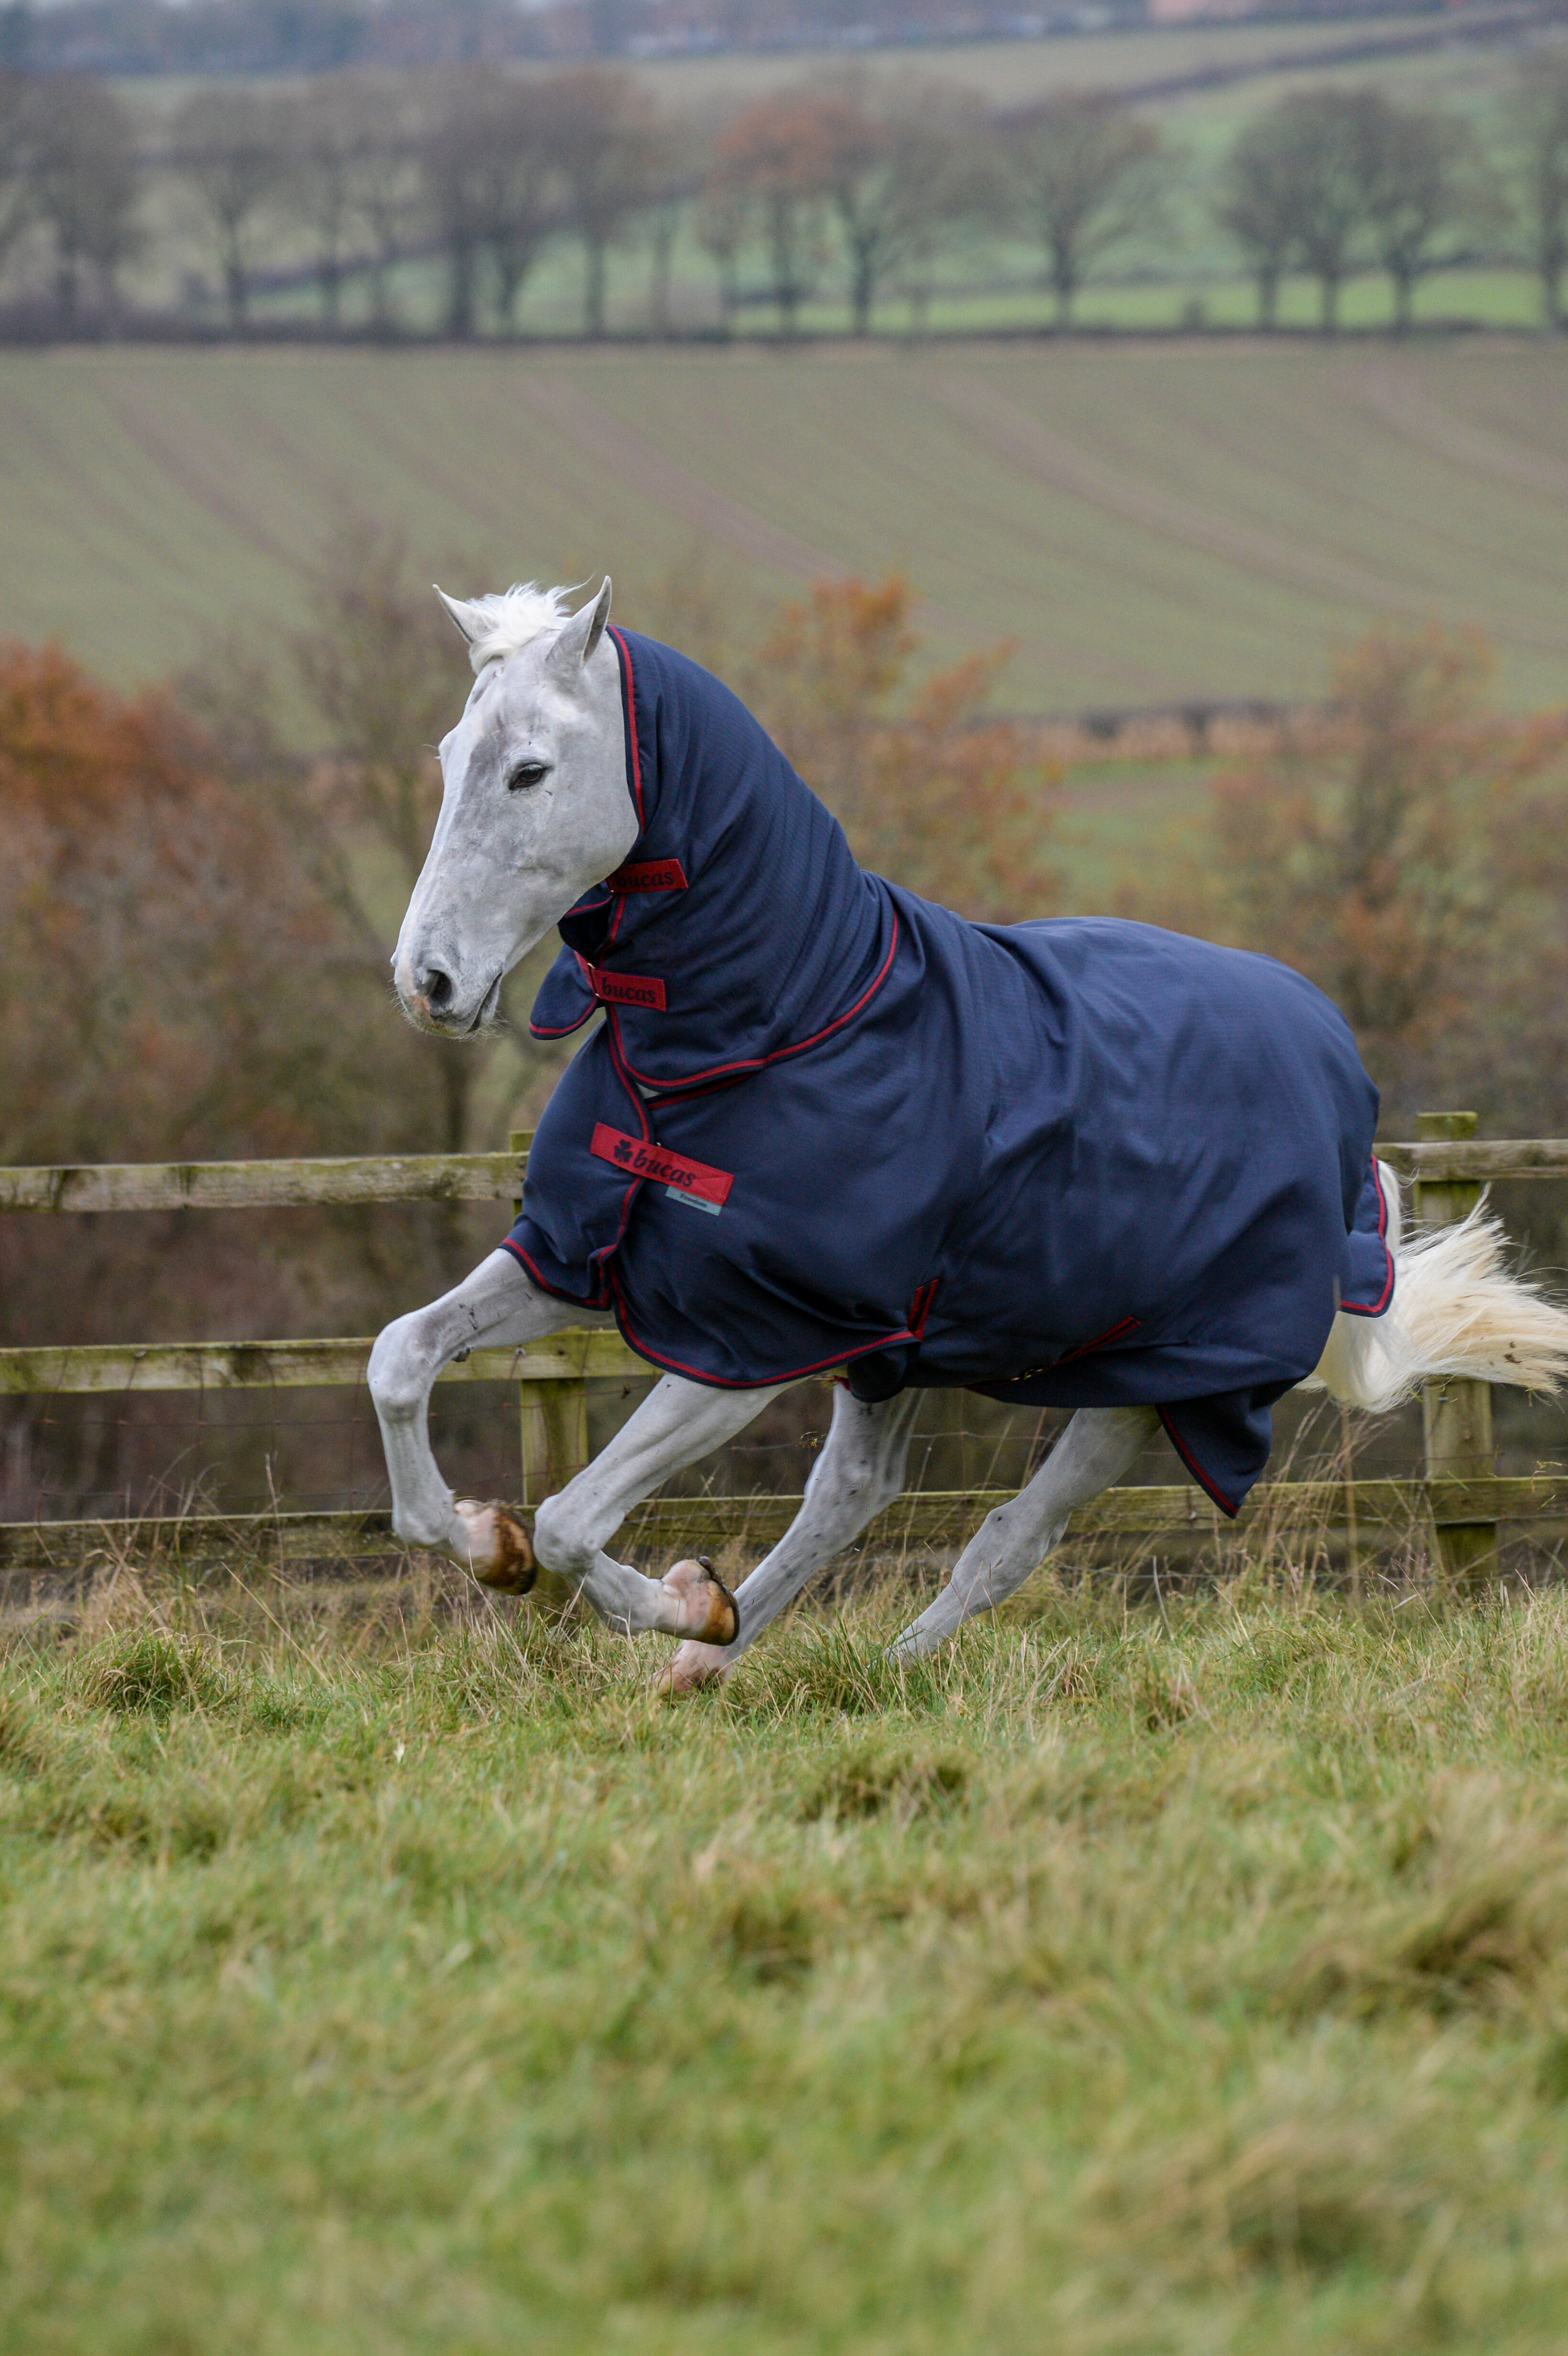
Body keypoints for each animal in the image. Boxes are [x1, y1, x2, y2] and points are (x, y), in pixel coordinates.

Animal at [370, 577, 1563, 1687]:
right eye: (450, 755)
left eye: (529, 771)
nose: (426, 982)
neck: (771, 1026)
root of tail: (1333, 1061)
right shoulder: (582, 1259)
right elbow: (399, 1360)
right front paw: (484, 1539)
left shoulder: (747, 1338)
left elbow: (573, 1521)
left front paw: (670, 1594)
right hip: (903, 1354)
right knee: (852, 1494)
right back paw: (709, 1663)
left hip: (1151, 1382)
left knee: (1006, 1539)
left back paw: (848, 1661)